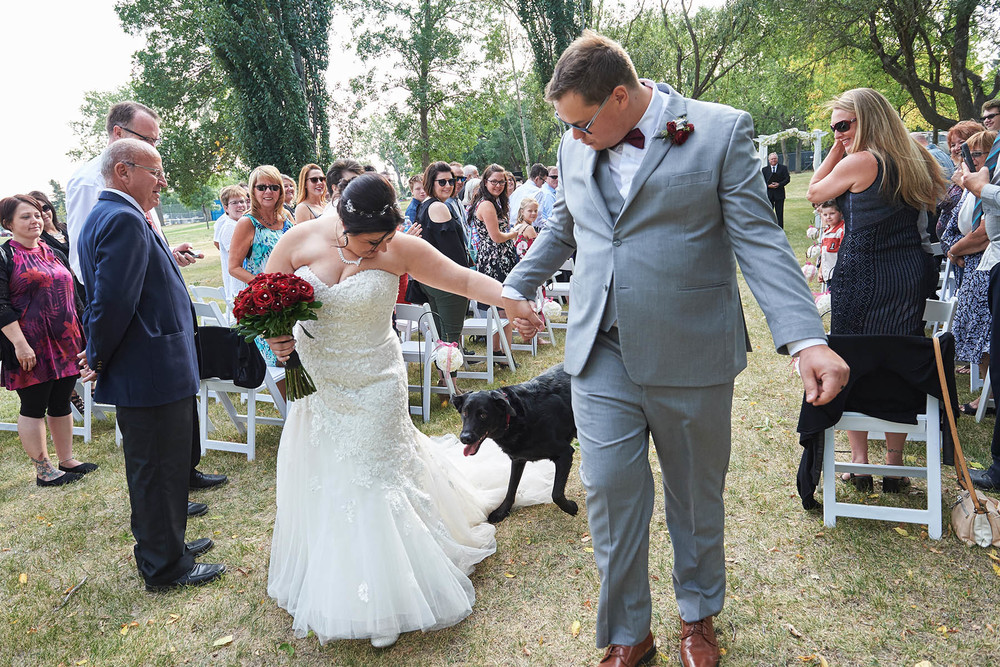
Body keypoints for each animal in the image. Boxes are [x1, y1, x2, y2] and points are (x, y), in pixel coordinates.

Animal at [452, 363, 578, 524]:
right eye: (465, 413)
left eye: (483, 414)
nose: (464, 438)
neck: (516, 418)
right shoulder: (518, 459)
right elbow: (511, 488)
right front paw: (502, 511)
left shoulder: (565, 453)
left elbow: (556, 494)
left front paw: (571, 507)